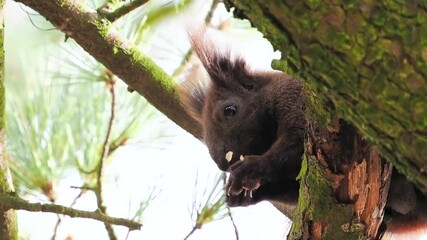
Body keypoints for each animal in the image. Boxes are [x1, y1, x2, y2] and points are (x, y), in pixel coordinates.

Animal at [179, 27, 427, 239]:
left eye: (230, 110)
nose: (223, 163)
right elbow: (294, 190)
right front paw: (241, 196)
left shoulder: (297, 103)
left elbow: (293, 148)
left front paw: (252, 168)